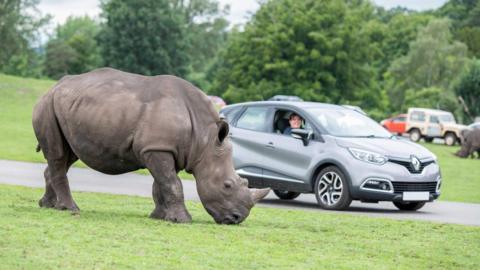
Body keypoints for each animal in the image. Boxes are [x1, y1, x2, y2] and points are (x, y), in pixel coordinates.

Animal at [32, 67, 270, 224]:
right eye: (227, 185)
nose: (236, 218)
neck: (205, 140)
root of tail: (53, 87)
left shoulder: (164, 148)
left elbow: (161, 184)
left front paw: (159, 217)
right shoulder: (157, 148)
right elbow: (172, 183)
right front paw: (182, 220)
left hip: (68, 108)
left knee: (67, 156)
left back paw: (48, 205)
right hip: (47, 105)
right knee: (58, 156)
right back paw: (69, 208)